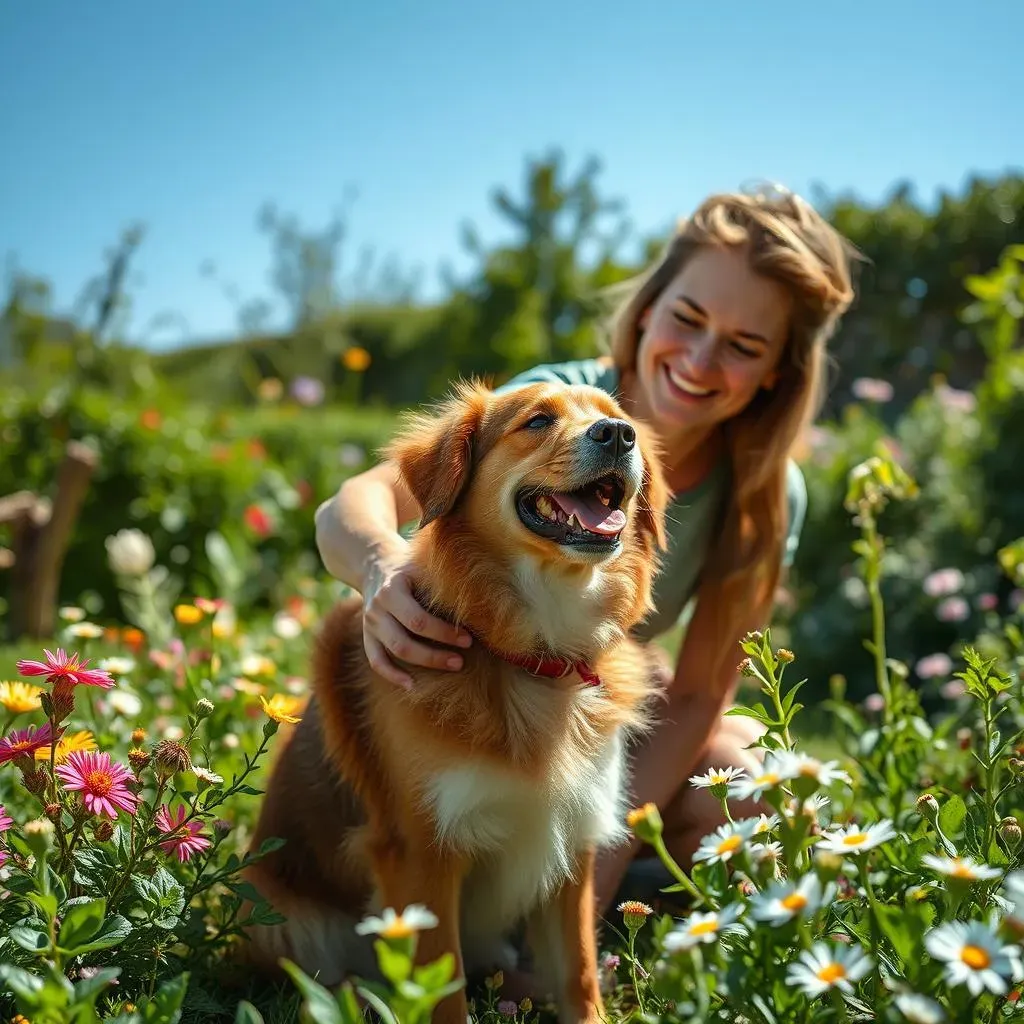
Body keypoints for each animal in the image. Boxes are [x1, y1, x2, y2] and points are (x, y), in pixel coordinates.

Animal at [240, 380, 671, 1019]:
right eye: (537, 421)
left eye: (618, 418)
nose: (619, 436)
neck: (535, 657)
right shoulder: (420, 856)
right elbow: (441, 991)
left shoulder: (572, 845)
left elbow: (579, 973)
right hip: (271, 915)